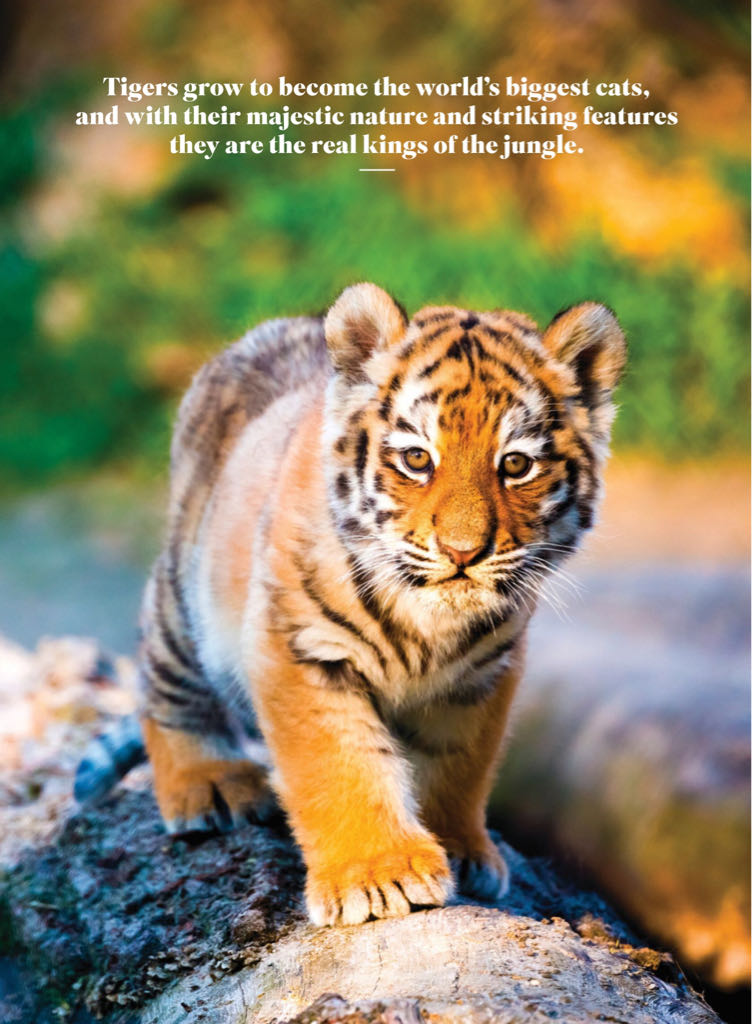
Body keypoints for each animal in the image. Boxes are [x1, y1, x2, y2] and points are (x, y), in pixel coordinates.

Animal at [77, 283, 626, 927]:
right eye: (417, 459)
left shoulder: (482, 677)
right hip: (183, 605)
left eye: (515, 464)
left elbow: (458, 767)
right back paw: (210, 782)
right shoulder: (300, 652)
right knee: (165, 688)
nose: (462, 552)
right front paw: (378, 874)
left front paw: (462, 851)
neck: (431, 624)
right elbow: (340, 764)